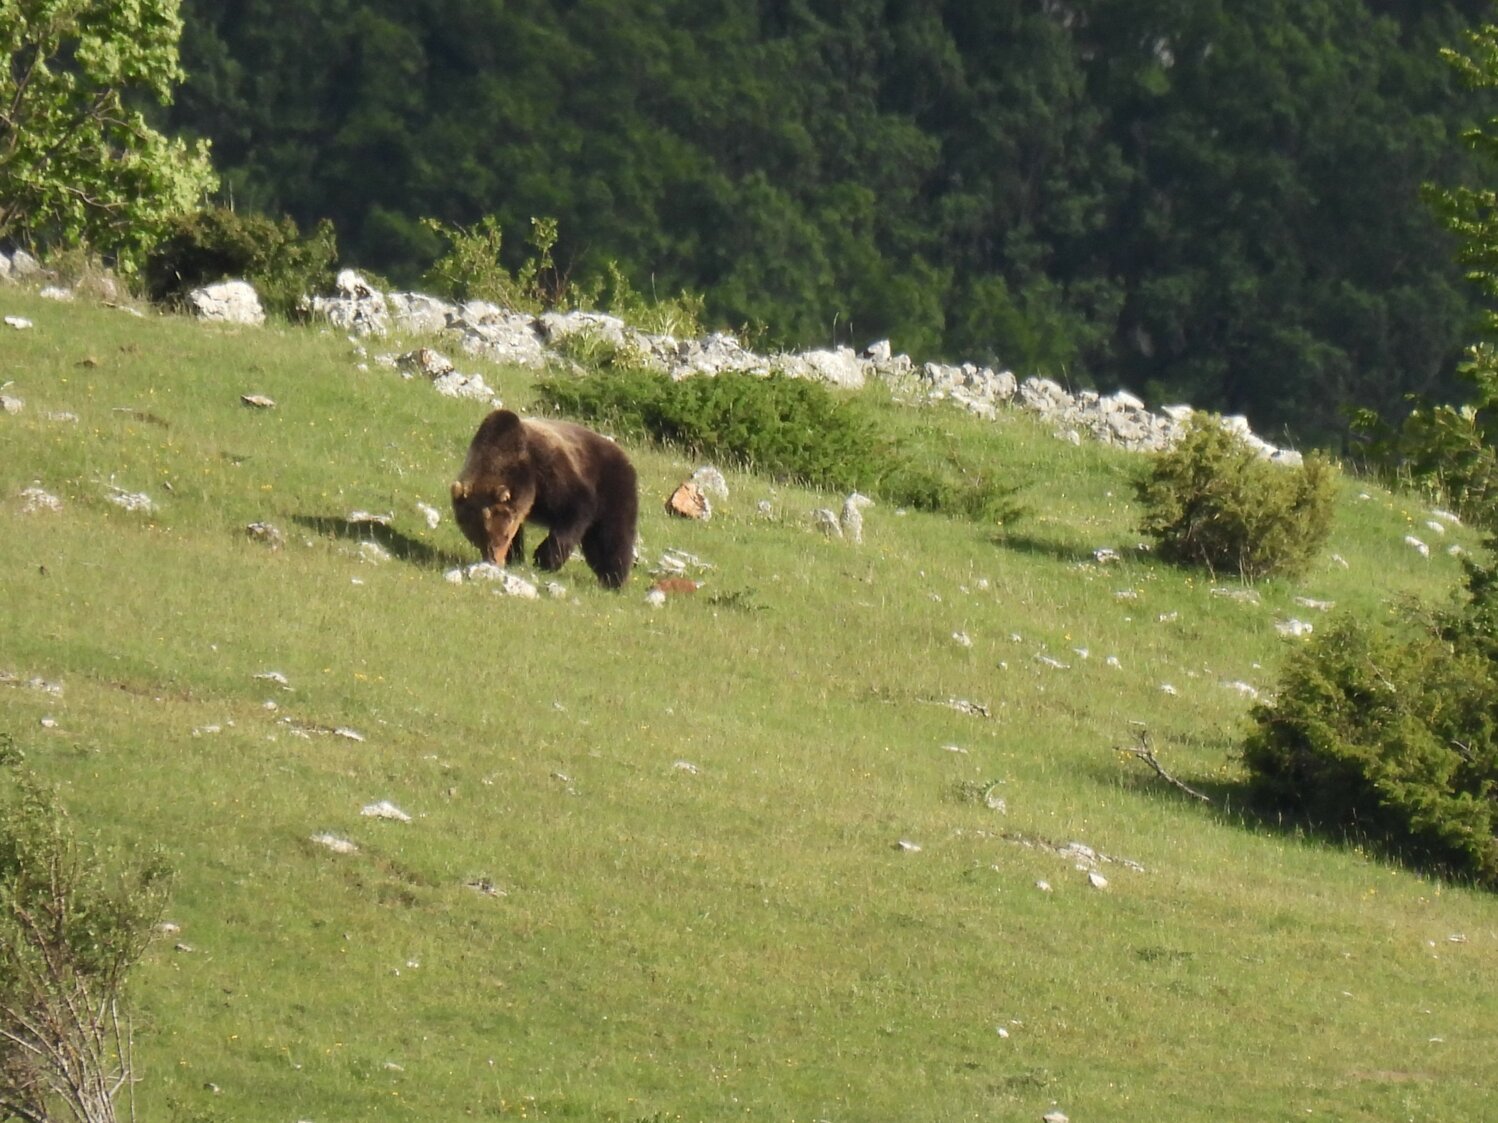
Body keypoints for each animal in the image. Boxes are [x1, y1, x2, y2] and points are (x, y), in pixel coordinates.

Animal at [450, 408, 638, 588]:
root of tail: (623, 453)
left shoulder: (551, 472)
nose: (493, 561)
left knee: (613, 534)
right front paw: (516, 557)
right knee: (594, 543)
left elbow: (574, 513)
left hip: (613, 487)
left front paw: (542, 559)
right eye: (477, 538)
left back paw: (613, 578)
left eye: (503, 535)